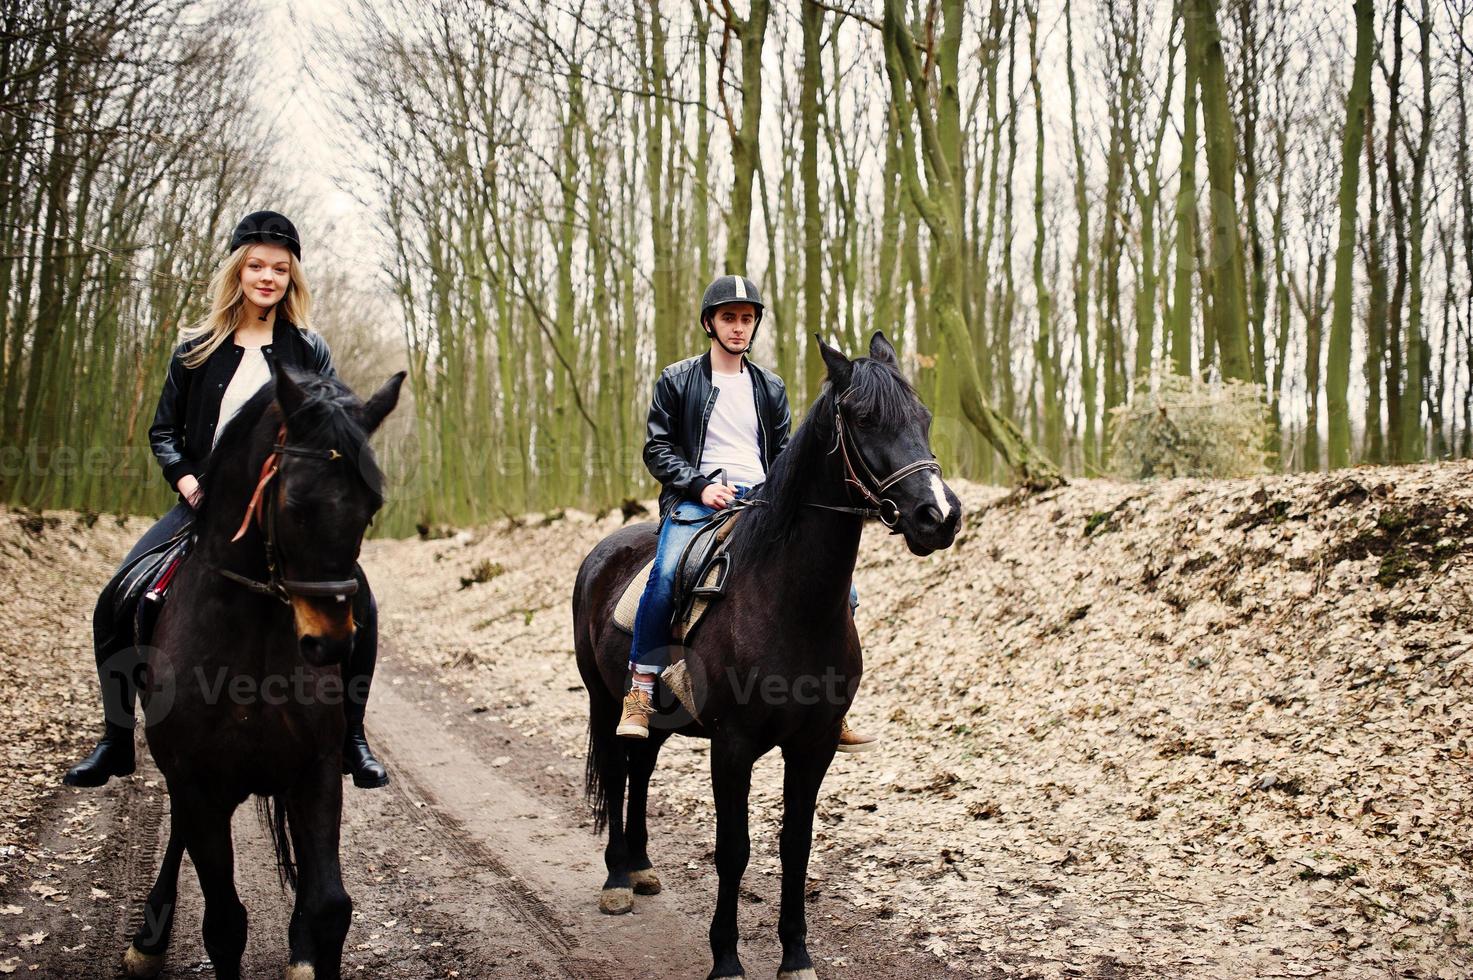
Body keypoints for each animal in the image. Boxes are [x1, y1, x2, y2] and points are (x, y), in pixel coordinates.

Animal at [121, 361, 403, 978]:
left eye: (371, 509)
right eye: (296, 505)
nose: (330, 643)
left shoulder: (314, 773)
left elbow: (329, 906)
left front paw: (309, 945)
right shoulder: (199, 785)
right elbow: (224, 923)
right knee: (178, 836)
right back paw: (148, 939)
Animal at [568, 333, 960, 972]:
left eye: (922, 418)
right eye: (862, 419)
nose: (940, 516)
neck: (787, 599)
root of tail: (605, 550)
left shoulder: (814, 744)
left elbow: (796, 845)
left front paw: (796, 956)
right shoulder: (732, 745)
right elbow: (733, 848)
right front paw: (726, 959)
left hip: (658, 719)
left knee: (641, 768)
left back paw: (643, 869)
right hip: (605, 701)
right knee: (621, 767)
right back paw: (618, 880)